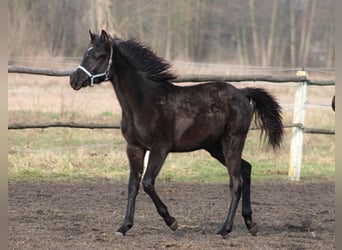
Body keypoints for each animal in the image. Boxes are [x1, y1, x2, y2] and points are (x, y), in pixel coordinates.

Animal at [69, 29, 284, 238]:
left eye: (99, 56)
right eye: (85, 53)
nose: (74, 80)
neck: (144, 102)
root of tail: (242, 93)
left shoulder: (160, 148)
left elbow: (147, 183)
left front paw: (172, 222)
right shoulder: (134, 148)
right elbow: (133, 186)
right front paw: (124, 227)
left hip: (232, 140)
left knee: (236, 181)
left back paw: (225, 229)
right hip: (214, 147)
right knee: (246, 169)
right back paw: (250, 224)